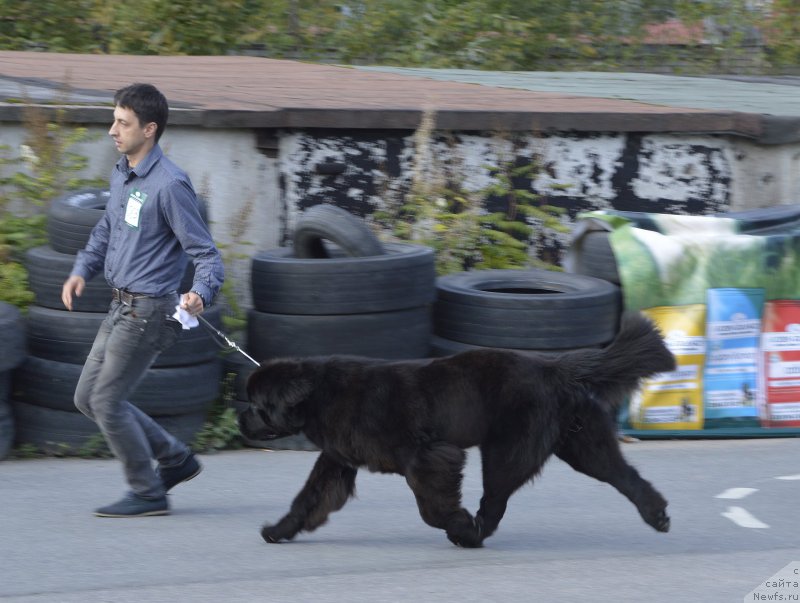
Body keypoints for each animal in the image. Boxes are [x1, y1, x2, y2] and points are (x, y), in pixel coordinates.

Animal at [242, 314, 676, 548]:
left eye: (258, 405)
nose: (240, 418)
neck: (321, 394)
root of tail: (553, 366)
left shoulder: (430, 456)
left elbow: (433, 509)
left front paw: (459, 524)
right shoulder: (337, 460)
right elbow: (308, 499)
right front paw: (277, 530)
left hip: (506, 451)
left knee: (495, 500)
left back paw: (472, 533)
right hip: (584, 444)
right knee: (626, 476)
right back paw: (657, 515)